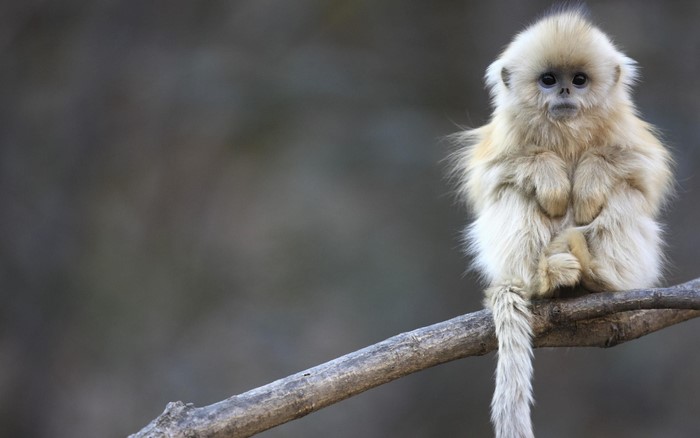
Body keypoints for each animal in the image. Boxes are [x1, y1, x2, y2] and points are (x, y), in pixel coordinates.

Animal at [450, 7, 673, 438]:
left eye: (580, 80)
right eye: (549, 80)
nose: (566, 92)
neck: (566, 132)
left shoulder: (627, 131)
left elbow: (642, 171)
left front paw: (587, 183)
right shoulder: (503, 139)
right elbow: (493, 176)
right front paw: (551, 178)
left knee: (624, 194)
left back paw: (596, 274)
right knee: (514, 193)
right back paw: (545, 278)